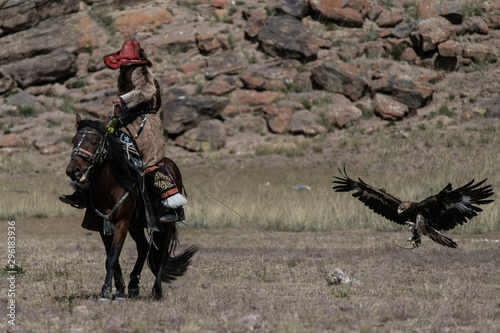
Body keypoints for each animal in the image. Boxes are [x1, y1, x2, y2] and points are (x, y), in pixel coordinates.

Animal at [63, 114, 195, 300]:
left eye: (95, 141)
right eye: (74, 141)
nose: (73, 171)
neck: (112, 186)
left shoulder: (122, 223)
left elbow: (112, 257)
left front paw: (106, 291)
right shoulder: (104, 226)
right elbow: (113, 258)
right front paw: (119, 290)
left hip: (165, 225)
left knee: (161, 254)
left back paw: (157, 291)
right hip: (136, 226)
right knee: (144, 248)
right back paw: (133, 285)